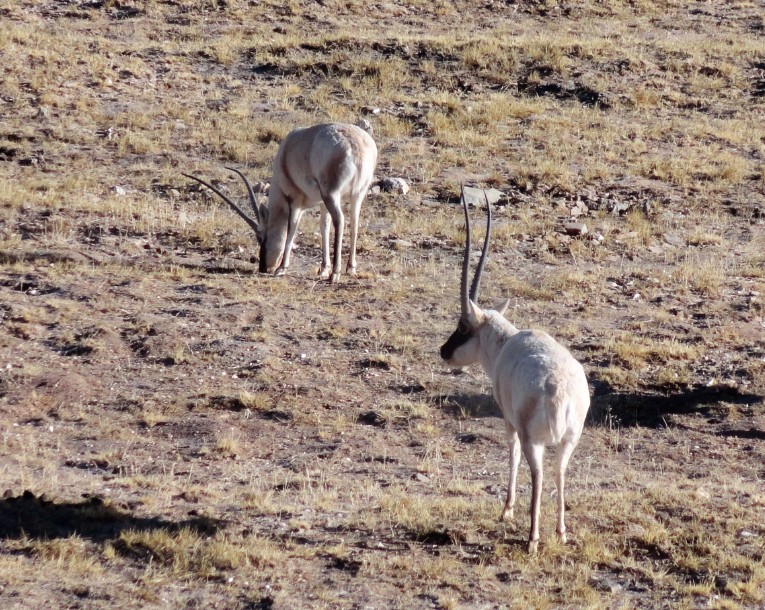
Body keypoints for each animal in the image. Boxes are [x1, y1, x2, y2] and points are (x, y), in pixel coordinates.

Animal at [183, 121, 380, 282]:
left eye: (260, 236)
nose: (264, 267)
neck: (286, 152)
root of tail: (356, 147)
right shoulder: (321, 203)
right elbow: (324, 227)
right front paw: (323, 269)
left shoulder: (294, 200)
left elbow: (292, 228)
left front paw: (282, 268)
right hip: (356, 195)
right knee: (354, 222)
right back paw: (350, 268)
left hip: (332, 193)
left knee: (340, 221)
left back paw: (335, 274)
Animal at [436, 186, 592, 552]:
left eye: (463, 326)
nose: (444, 352)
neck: (506, 340)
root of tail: (559, 393)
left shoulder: (508, 420)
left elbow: (512, 453)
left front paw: (506, 509)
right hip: (570, 440)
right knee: (560, 472)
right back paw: (560, 533)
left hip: (534, 438)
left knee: (538, 472)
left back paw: (532, 539)